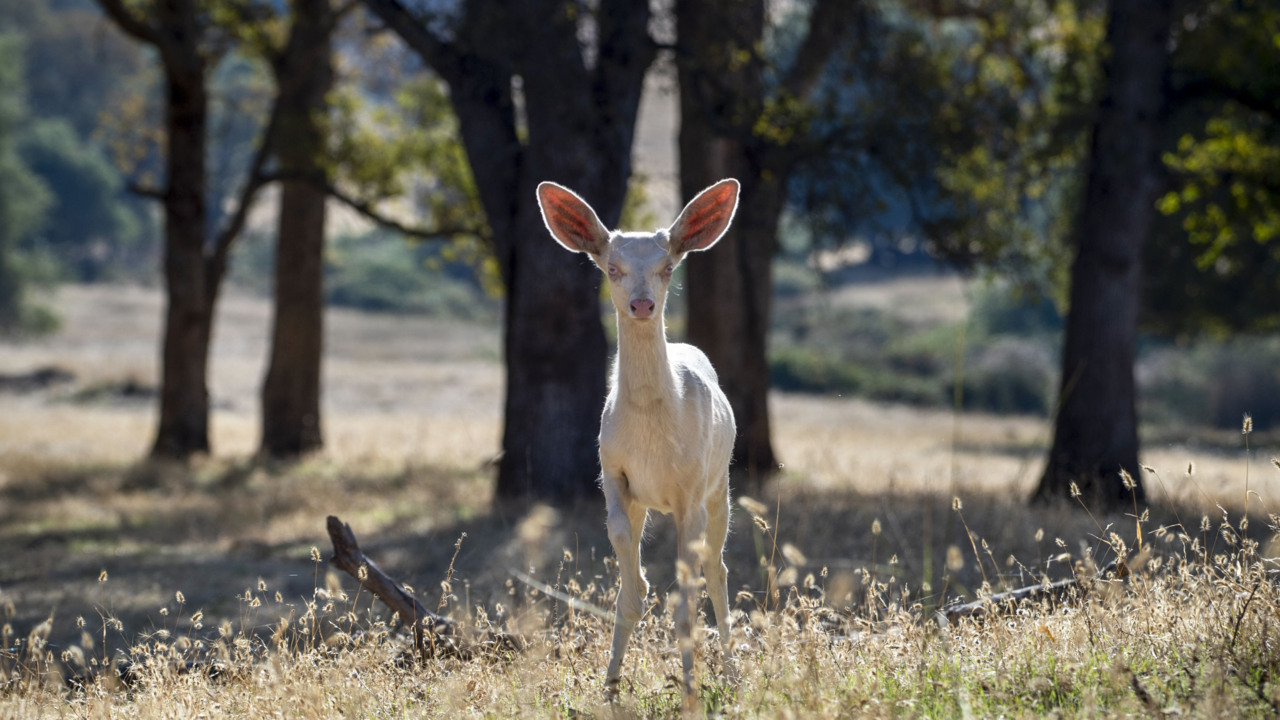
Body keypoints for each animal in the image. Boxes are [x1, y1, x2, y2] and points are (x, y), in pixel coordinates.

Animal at [536, 179, 740, 697]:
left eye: (668, 267)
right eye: (612, 267)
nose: (642, 304)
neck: (652, 433)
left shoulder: (691, 486)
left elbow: (687, 600)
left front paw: (690, 688)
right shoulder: (612, 470)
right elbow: (626, 568)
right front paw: (609, 685)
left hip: (720, 484)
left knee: (717, 570)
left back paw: (731, 672)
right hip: (651, 498)